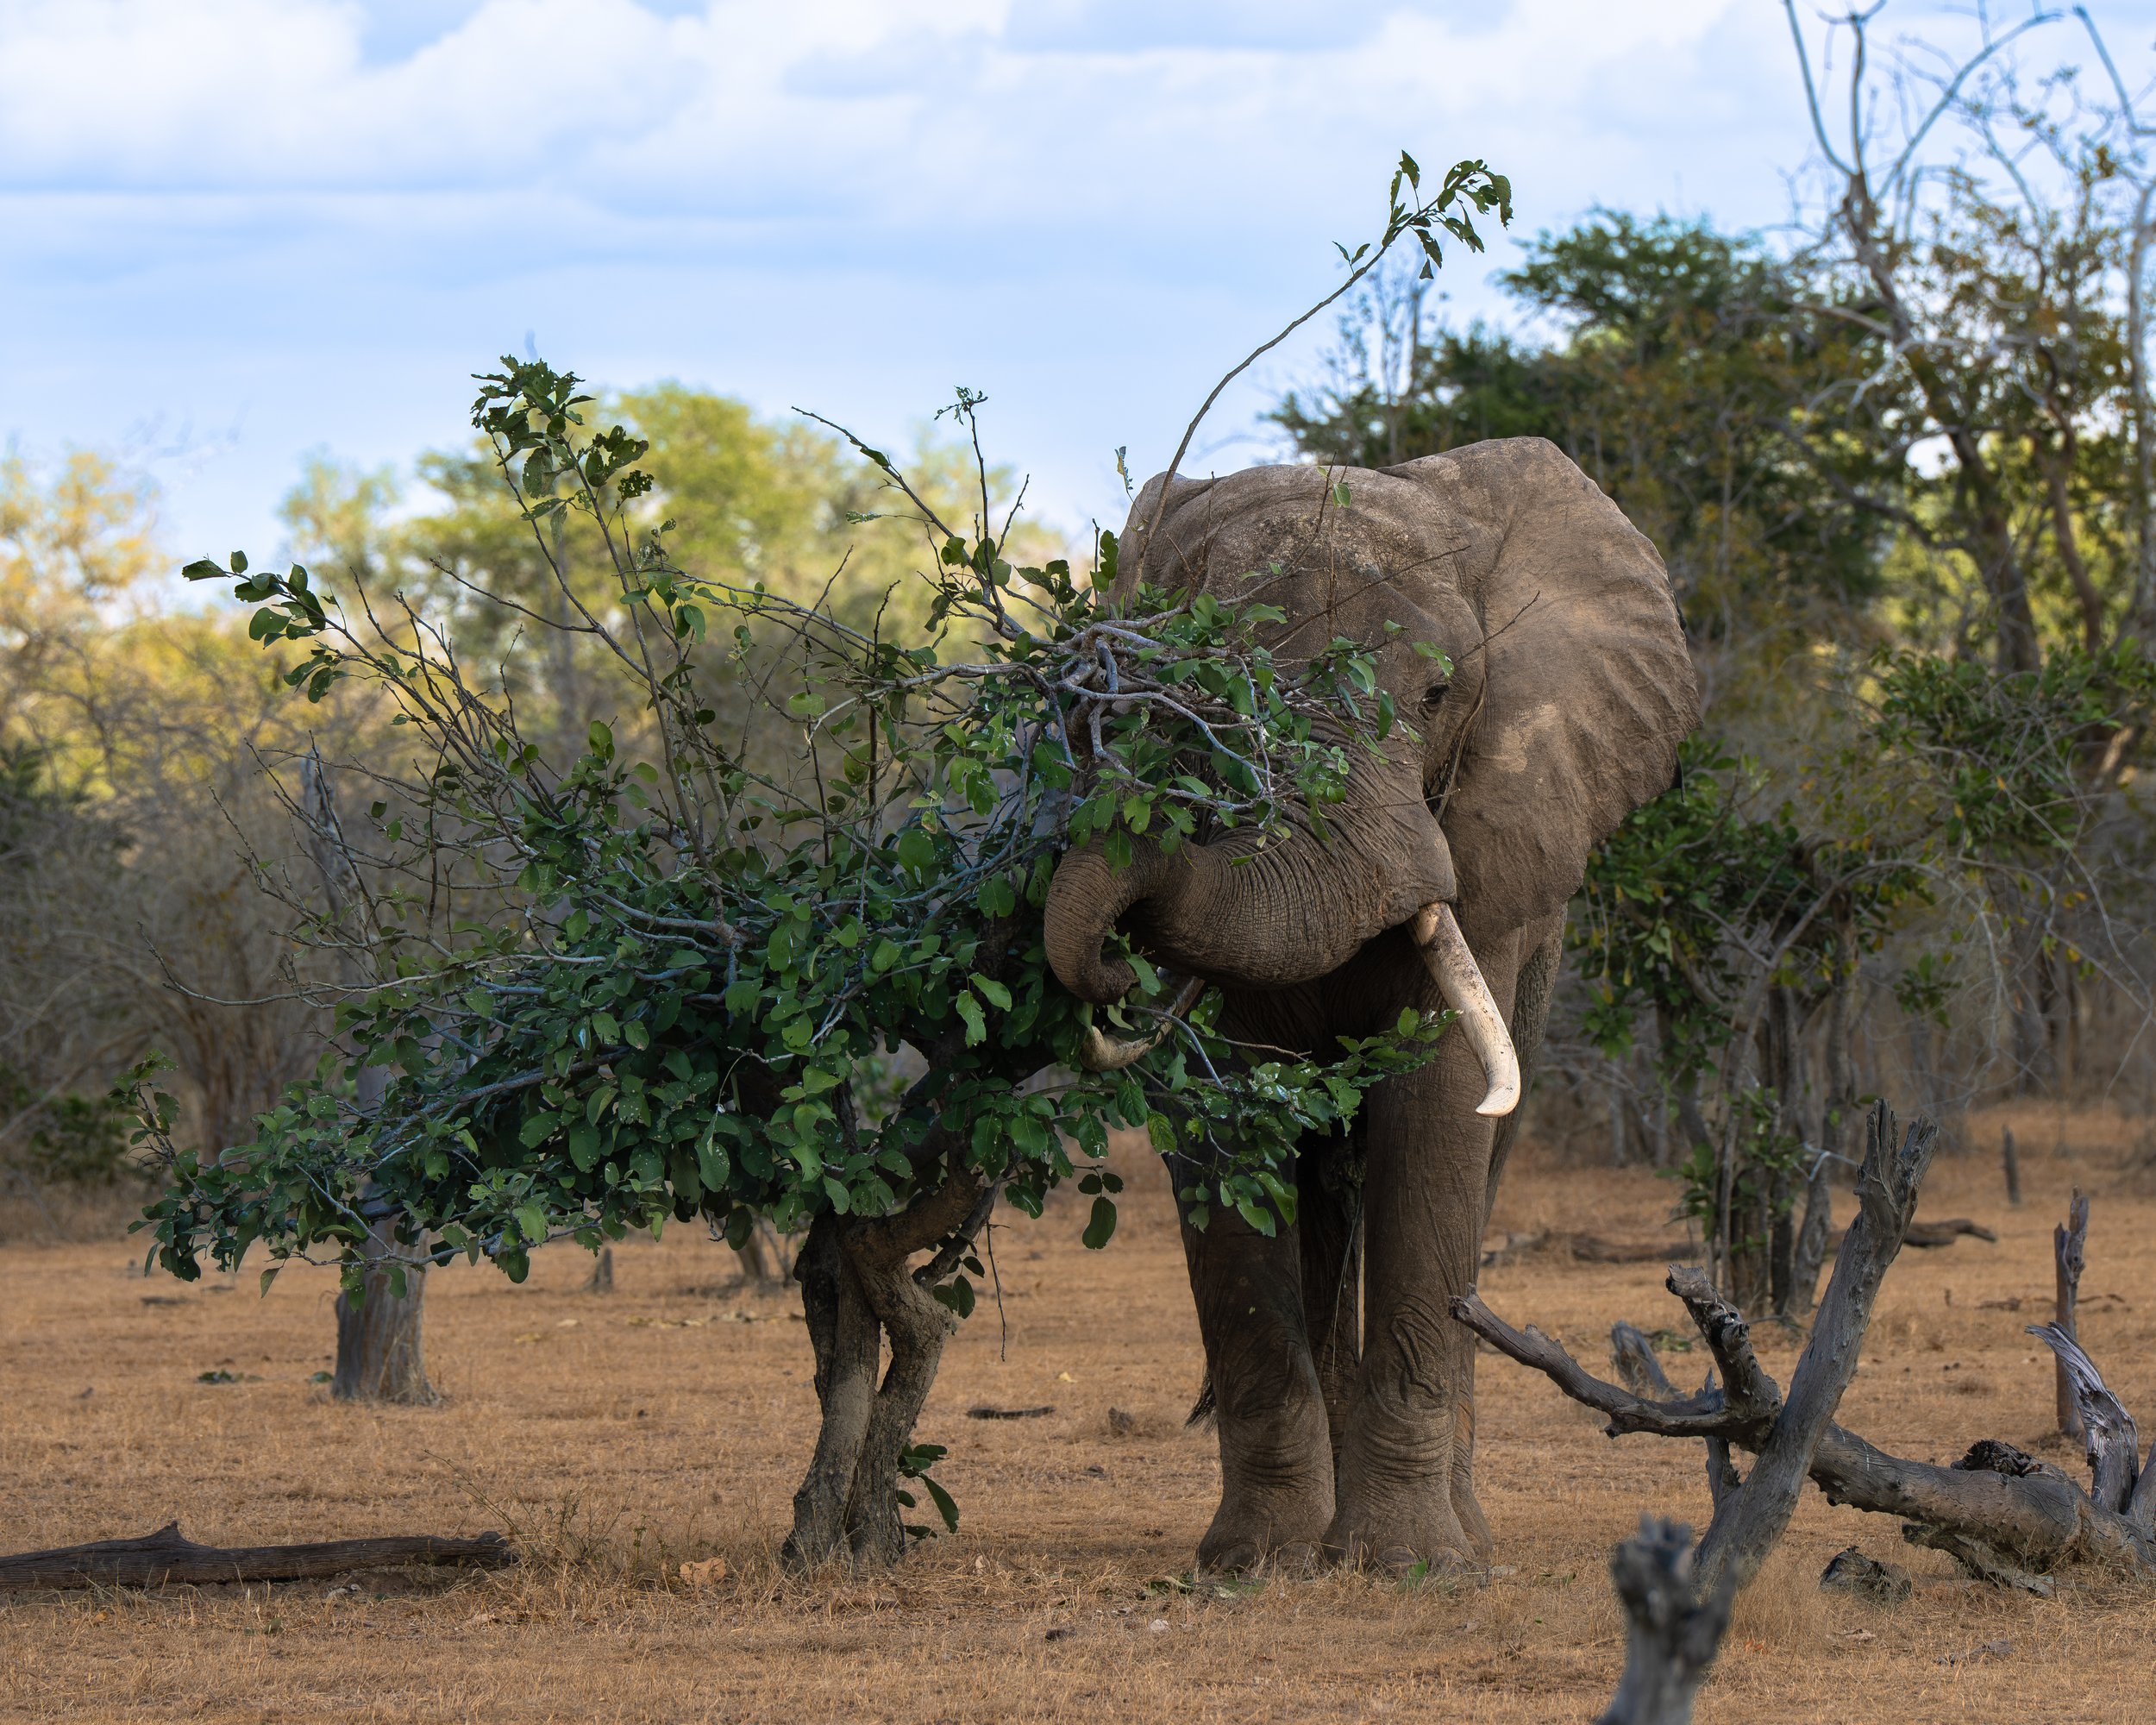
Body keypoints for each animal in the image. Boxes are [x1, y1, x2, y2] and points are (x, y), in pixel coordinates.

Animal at [1044, 437, 1698, 1574]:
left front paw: (1412, 1565)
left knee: (1476, 1173)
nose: (1111, 971)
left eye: (1437, 695)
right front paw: (1256, 1560)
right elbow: (1227, 1135)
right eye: (1193, 701)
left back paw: (1460, 1534)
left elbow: (1437, 1111)